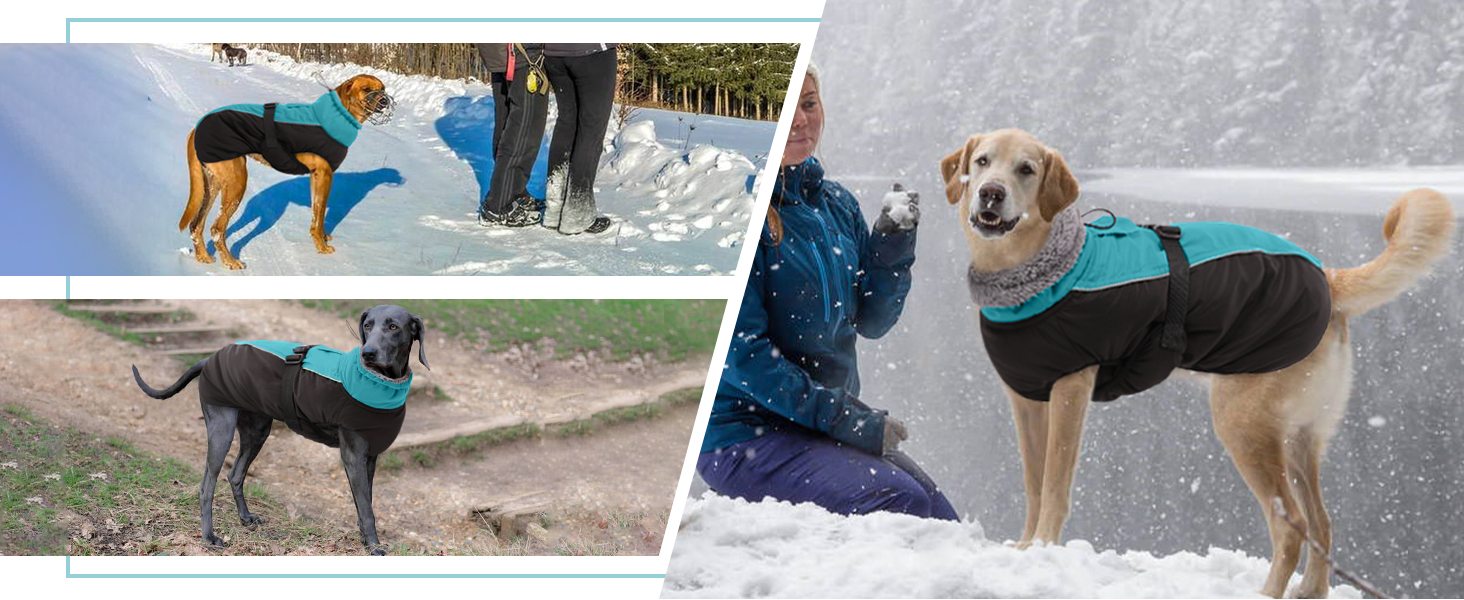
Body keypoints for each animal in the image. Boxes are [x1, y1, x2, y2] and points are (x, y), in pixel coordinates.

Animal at [130, 302, 427, 556]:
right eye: (367, 325)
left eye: (393, 326)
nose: (368, 354)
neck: (383, 382)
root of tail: (209, 358)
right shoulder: (353, 455)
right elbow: (366, 508)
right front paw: (375, 546)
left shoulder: (369, 457)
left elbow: (364, 501)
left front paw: (366, 541)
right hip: (221, 429)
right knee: (206, 486)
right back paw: (209, 537)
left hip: (257, 430)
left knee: (235, 474)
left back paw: (245, 517)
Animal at [182, 75, 395, 269]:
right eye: (366, 89)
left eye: (383, 88)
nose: (385, 101)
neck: (338, 114)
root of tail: (196, 128)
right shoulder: (324, 176)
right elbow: (319, 217)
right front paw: (322, 247)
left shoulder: (316, 178)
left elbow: (317, 216)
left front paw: (322, 238)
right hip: (236, 183)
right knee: (216, 229)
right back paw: (230, 262)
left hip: (211, 185)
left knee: (196, 225)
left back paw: (203, 257)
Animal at [936, 128, 1452, 597]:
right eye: (982, 162)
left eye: (1026, 169)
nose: (991, 192)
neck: (1038, 272)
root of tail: (1328, 278)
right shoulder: (1026, 398)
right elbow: (1033, 482)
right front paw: (1026, 549)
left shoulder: (1069, 390)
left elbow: (1055, 484)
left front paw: (1044, 548)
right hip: (1300, 435)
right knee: (1323, 524)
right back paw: (1310, 590)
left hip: (1242, 423)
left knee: (1291, 527)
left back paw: (1267, 593)